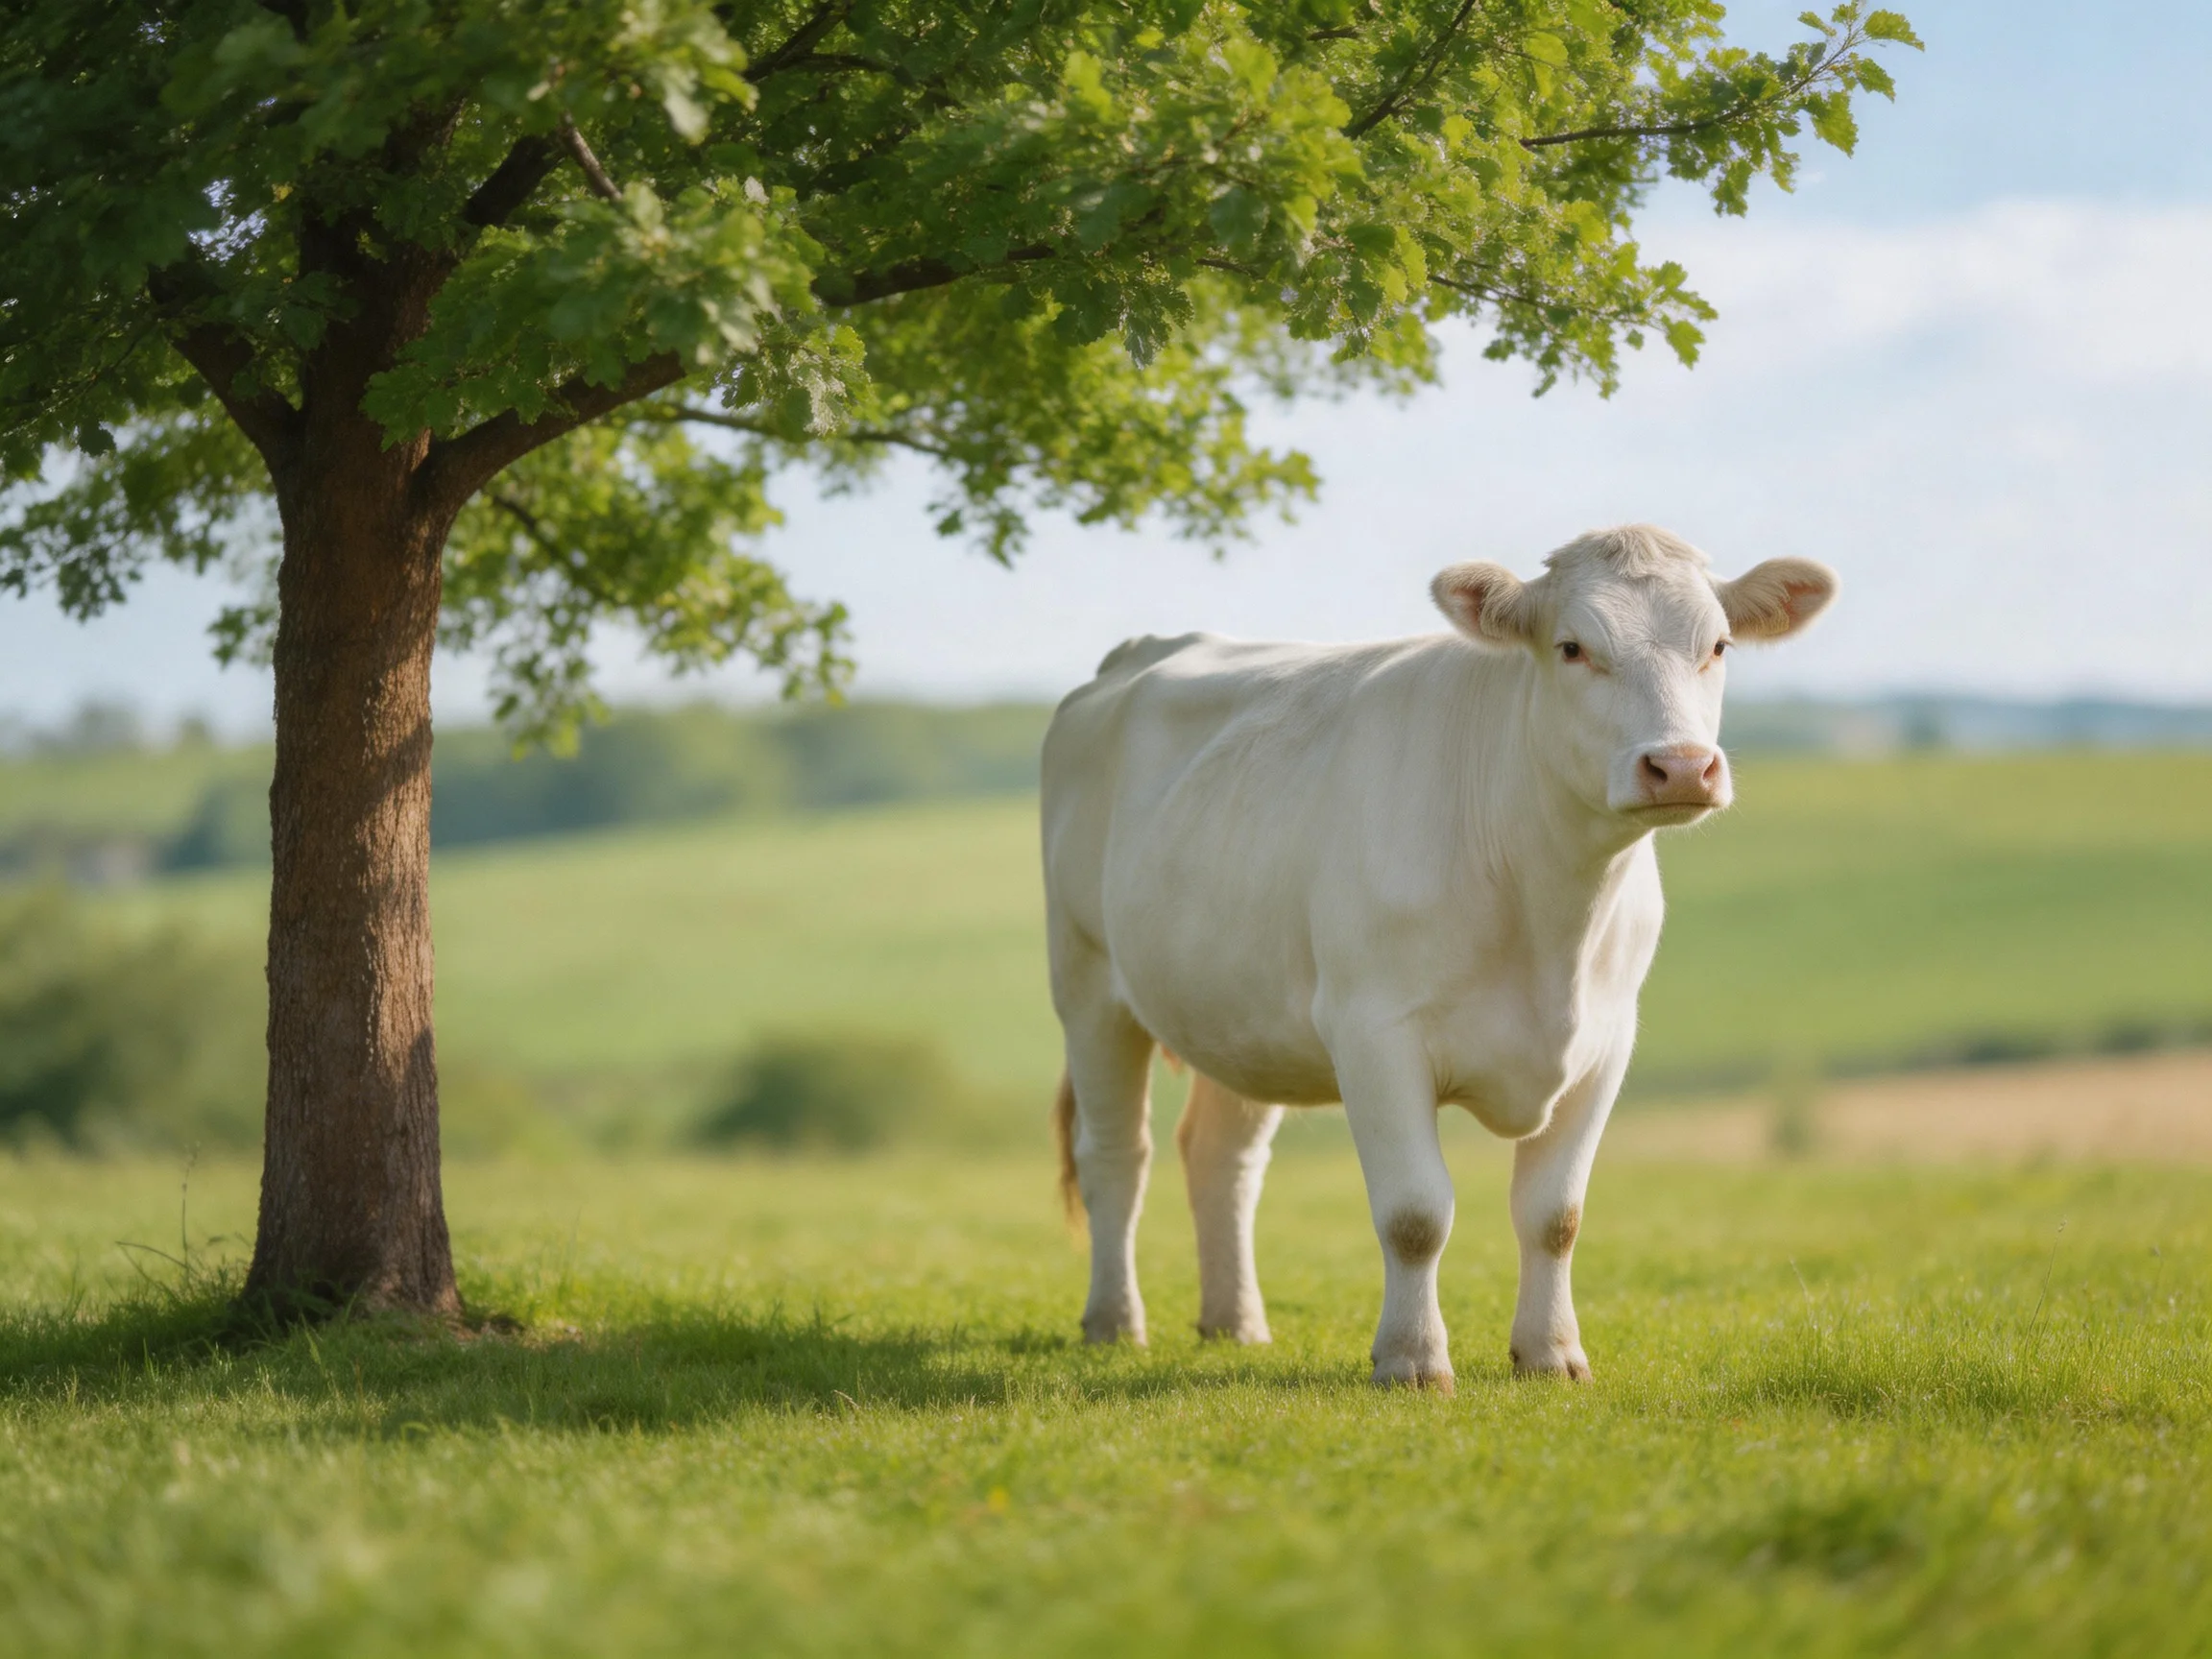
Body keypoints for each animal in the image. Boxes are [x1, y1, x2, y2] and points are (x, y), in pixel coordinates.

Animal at [1041, 524, 1836, 1390]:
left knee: (1223, 1159)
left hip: (1239, 1010)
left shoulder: (1606, 1042)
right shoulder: (1373, 1033)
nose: (1683, 765)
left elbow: (1555, 1216)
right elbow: (1416, 1214)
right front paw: (1413, 1360)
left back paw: (1236, 1323)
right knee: (1116, 1156)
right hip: (1087, 983)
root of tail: (1142, 651)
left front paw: (1551, 1354)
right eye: (1572, 647)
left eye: (1718, 645)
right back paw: (1115, 1321)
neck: (1549, 916)